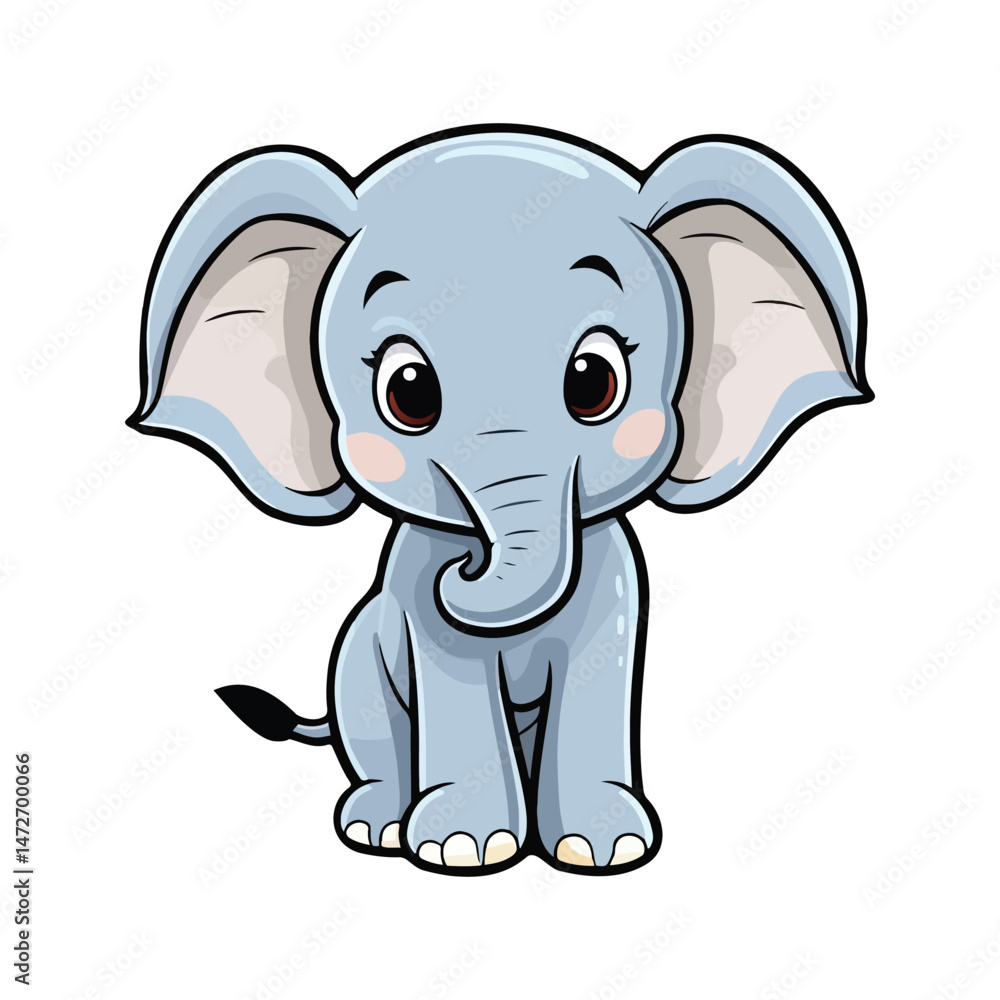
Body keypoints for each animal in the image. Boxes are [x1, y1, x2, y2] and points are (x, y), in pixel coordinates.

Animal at [127, 125, 871, 876]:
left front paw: (602, 849)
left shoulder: (615, 581)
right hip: (356, 663)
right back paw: (378, 826)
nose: (466, 567)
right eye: (408, 392)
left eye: (594, 381)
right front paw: (464, 850)